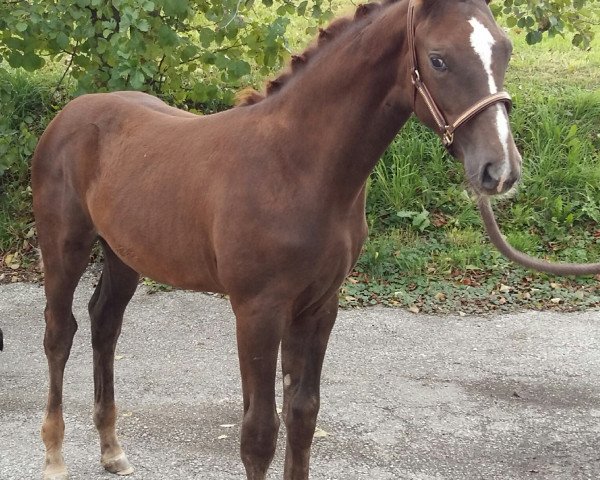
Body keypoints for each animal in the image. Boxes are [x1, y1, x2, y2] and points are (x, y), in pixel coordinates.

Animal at [32, 0, 524, 480]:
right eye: (438, 59)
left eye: (506, 50)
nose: (499, 170)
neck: (296, 166)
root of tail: (69, 114)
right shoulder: (258, 311)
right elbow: (259, 434)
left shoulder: (319, 306)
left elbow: (303, 415)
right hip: (64, 247)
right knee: (60, 333)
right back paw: (54, 458)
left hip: (123, 255)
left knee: (104, 323)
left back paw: (112, 451)